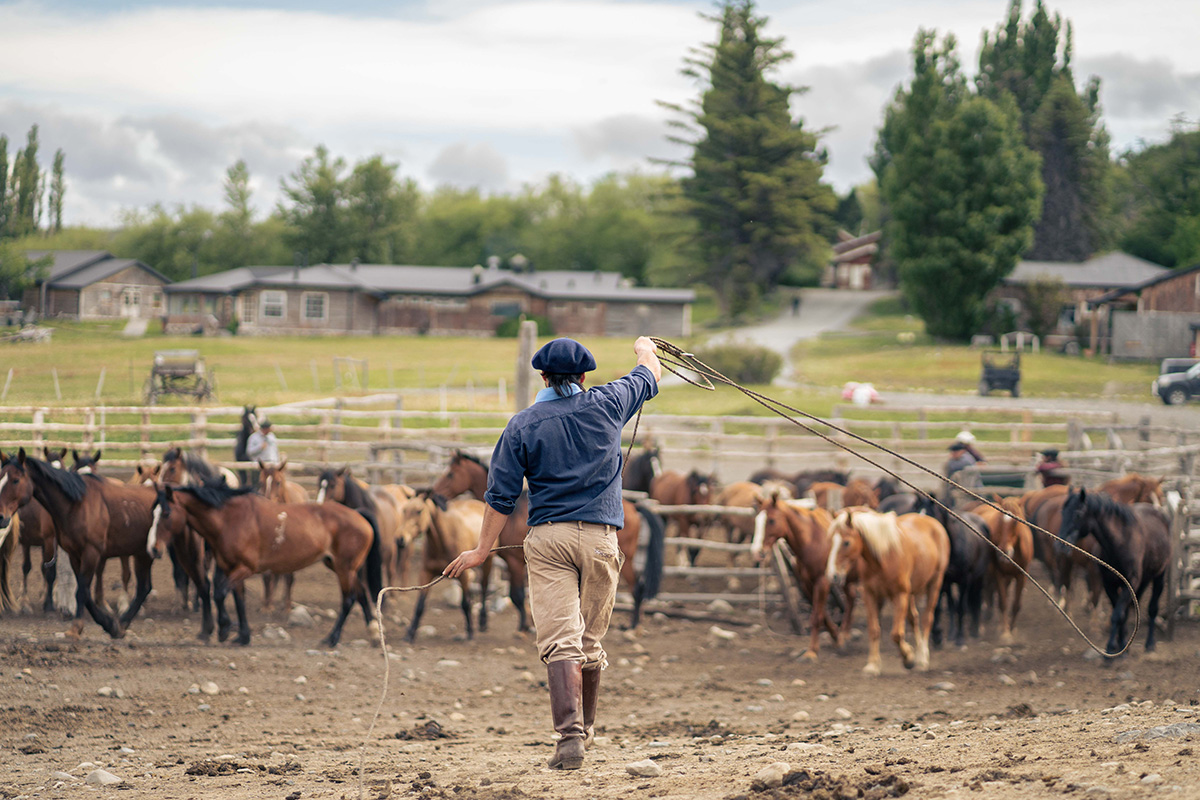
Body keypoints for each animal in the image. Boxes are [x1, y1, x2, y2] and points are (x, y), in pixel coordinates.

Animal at [153, 479, 379, 647]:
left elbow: (219, 593)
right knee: (360, 593)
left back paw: (331, 639)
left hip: (344, 569)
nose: (154, 549)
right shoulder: (230, 567)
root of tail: (359, 516)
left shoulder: (245, 568)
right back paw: (374, 634)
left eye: (166, 513)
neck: (230, 519)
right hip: (340, 566)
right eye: (153, 512)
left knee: (349, 599)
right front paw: (242, 636)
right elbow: (239, 598)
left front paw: (225, 629)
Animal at [748, 491, 854, 662]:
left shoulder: (823, 581)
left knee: (851, 599)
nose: (756, 552)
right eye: (757, 519)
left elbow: (816, 616)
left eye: (771, 520)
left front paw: (812, 652)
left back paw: (847, 634)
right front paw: (835, 637)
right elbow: (821, 614)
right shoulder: (806, 583)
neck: (812, 541)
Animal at [825, 506, 945, 676]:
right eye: (831, 541)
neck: (884, 558)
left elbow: (896, 634)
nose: (832, 575)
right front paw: (873, 665)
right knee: (913, 618)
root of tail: (932, 522)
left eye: (846, 542)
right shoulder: (871, 595)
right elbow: (874, 630)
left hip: (935, 583)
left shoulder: (900, 595)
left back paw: (922, 659)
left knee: (927, 618)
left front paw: (908, 658)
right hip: (911, 594)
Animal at [969, 496, 1036, 642]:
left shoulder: (1022, 575)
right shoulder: (998, 573)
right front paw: (1005, 633)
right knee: (983, 593)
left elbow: (1016, 604)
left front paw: (1012, 628)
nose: (1004, 551)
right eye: (1000, 520)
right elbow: (1003, 602)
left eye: (1016, 521)